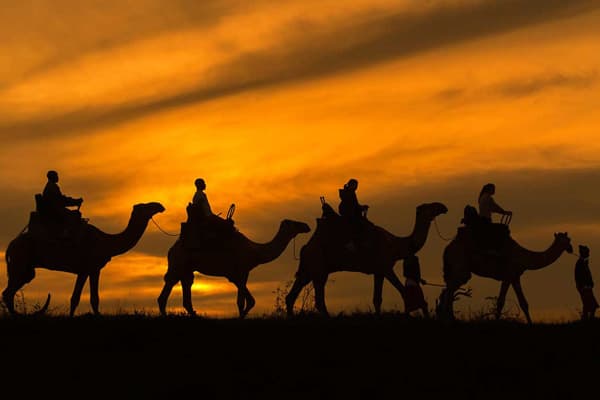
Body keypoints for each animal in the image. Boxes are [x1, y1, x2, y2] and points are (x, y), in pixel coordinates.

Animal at [2, 203, 165, 316]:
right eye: (145, 206)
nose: (160, 206)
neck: (106, 242)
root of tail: (11, 244)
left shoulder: (93, 270)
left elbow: (88, 298)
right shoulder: (86, 268)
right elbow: (80, 298)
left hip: (25, 268)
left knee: (10, 291)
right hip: (20, 262)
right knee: (8, 293)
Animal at [157, 217, 310, 318]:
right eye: (294, 223)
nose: (306, 226)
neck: (256, 252)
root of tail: (171, 249)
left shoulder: (237, 275)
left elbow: (248, 301)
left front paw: (242, 316)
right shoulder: (241, 271)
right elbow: (244, 302)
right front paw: (241, 317)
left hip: (186, 268)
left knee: (185, 284)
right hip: (178, 262)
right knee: (170, 283)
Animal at [284, 202, 446, 318]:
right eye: (429, 206)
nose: (443, 207)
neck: (396, 244)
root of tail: (305, 247)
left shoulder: (378, 272)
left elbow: (377, 299)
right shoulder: (386, 268)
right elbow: (404, 293)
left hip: (309, 269)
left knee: (292, 296)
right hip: (319, 268)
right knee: (318, 299)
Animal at [436, 212, 572, 322]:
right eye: (566, 240)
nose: (571, 248)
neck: (523, 257)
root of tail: (447, 248)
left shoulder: (512, 277)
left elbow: (517, 302)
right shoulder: (509, 275)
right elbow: (507, 302)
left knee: (448, 290)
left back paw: (449, 317)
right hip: (460, 267)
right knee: (450, 289)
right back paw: (448, 317)